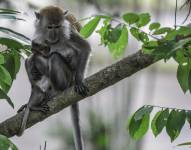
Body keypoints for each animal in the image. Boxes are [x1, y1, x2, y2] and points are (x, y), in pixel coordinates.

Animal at [17, 5, 90, 150]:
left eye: (57, 26)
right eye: (50, 27)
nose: (53, 35)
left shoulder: (69, 32)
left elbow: (85, 47)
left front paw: (80, 81)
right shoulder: (39, 38)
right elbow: (33, 54)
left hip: (68, 77)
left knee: (55, 58)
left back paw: (57, 91)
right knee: (34, 61)